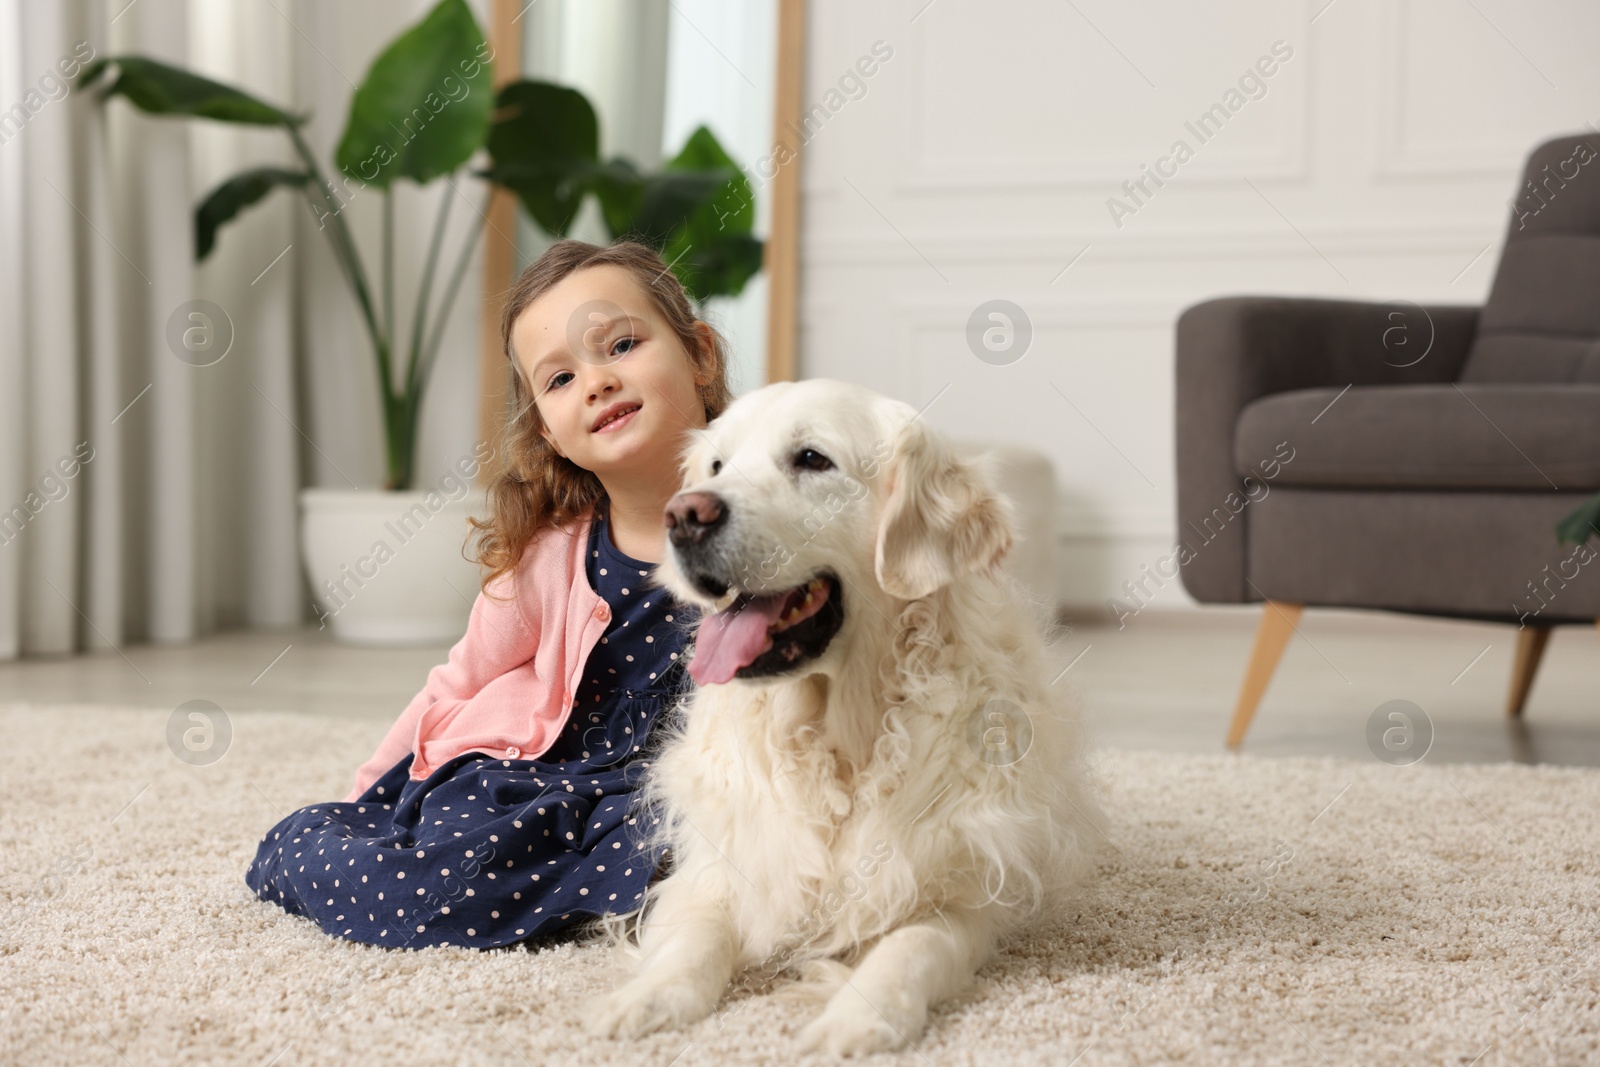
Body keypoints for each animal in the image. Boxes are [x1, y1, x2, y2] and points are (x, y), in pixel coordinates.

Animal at [588, 379, 1100, 1055]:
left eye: (812, 459)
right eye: (717, 466)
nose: (683, 515)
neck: (838, 742)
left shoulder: (960, 892)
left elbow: (911, 944)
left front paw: (856, 1017)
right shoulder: (724, 865)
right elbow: (693, 937)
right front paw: (646, 998)